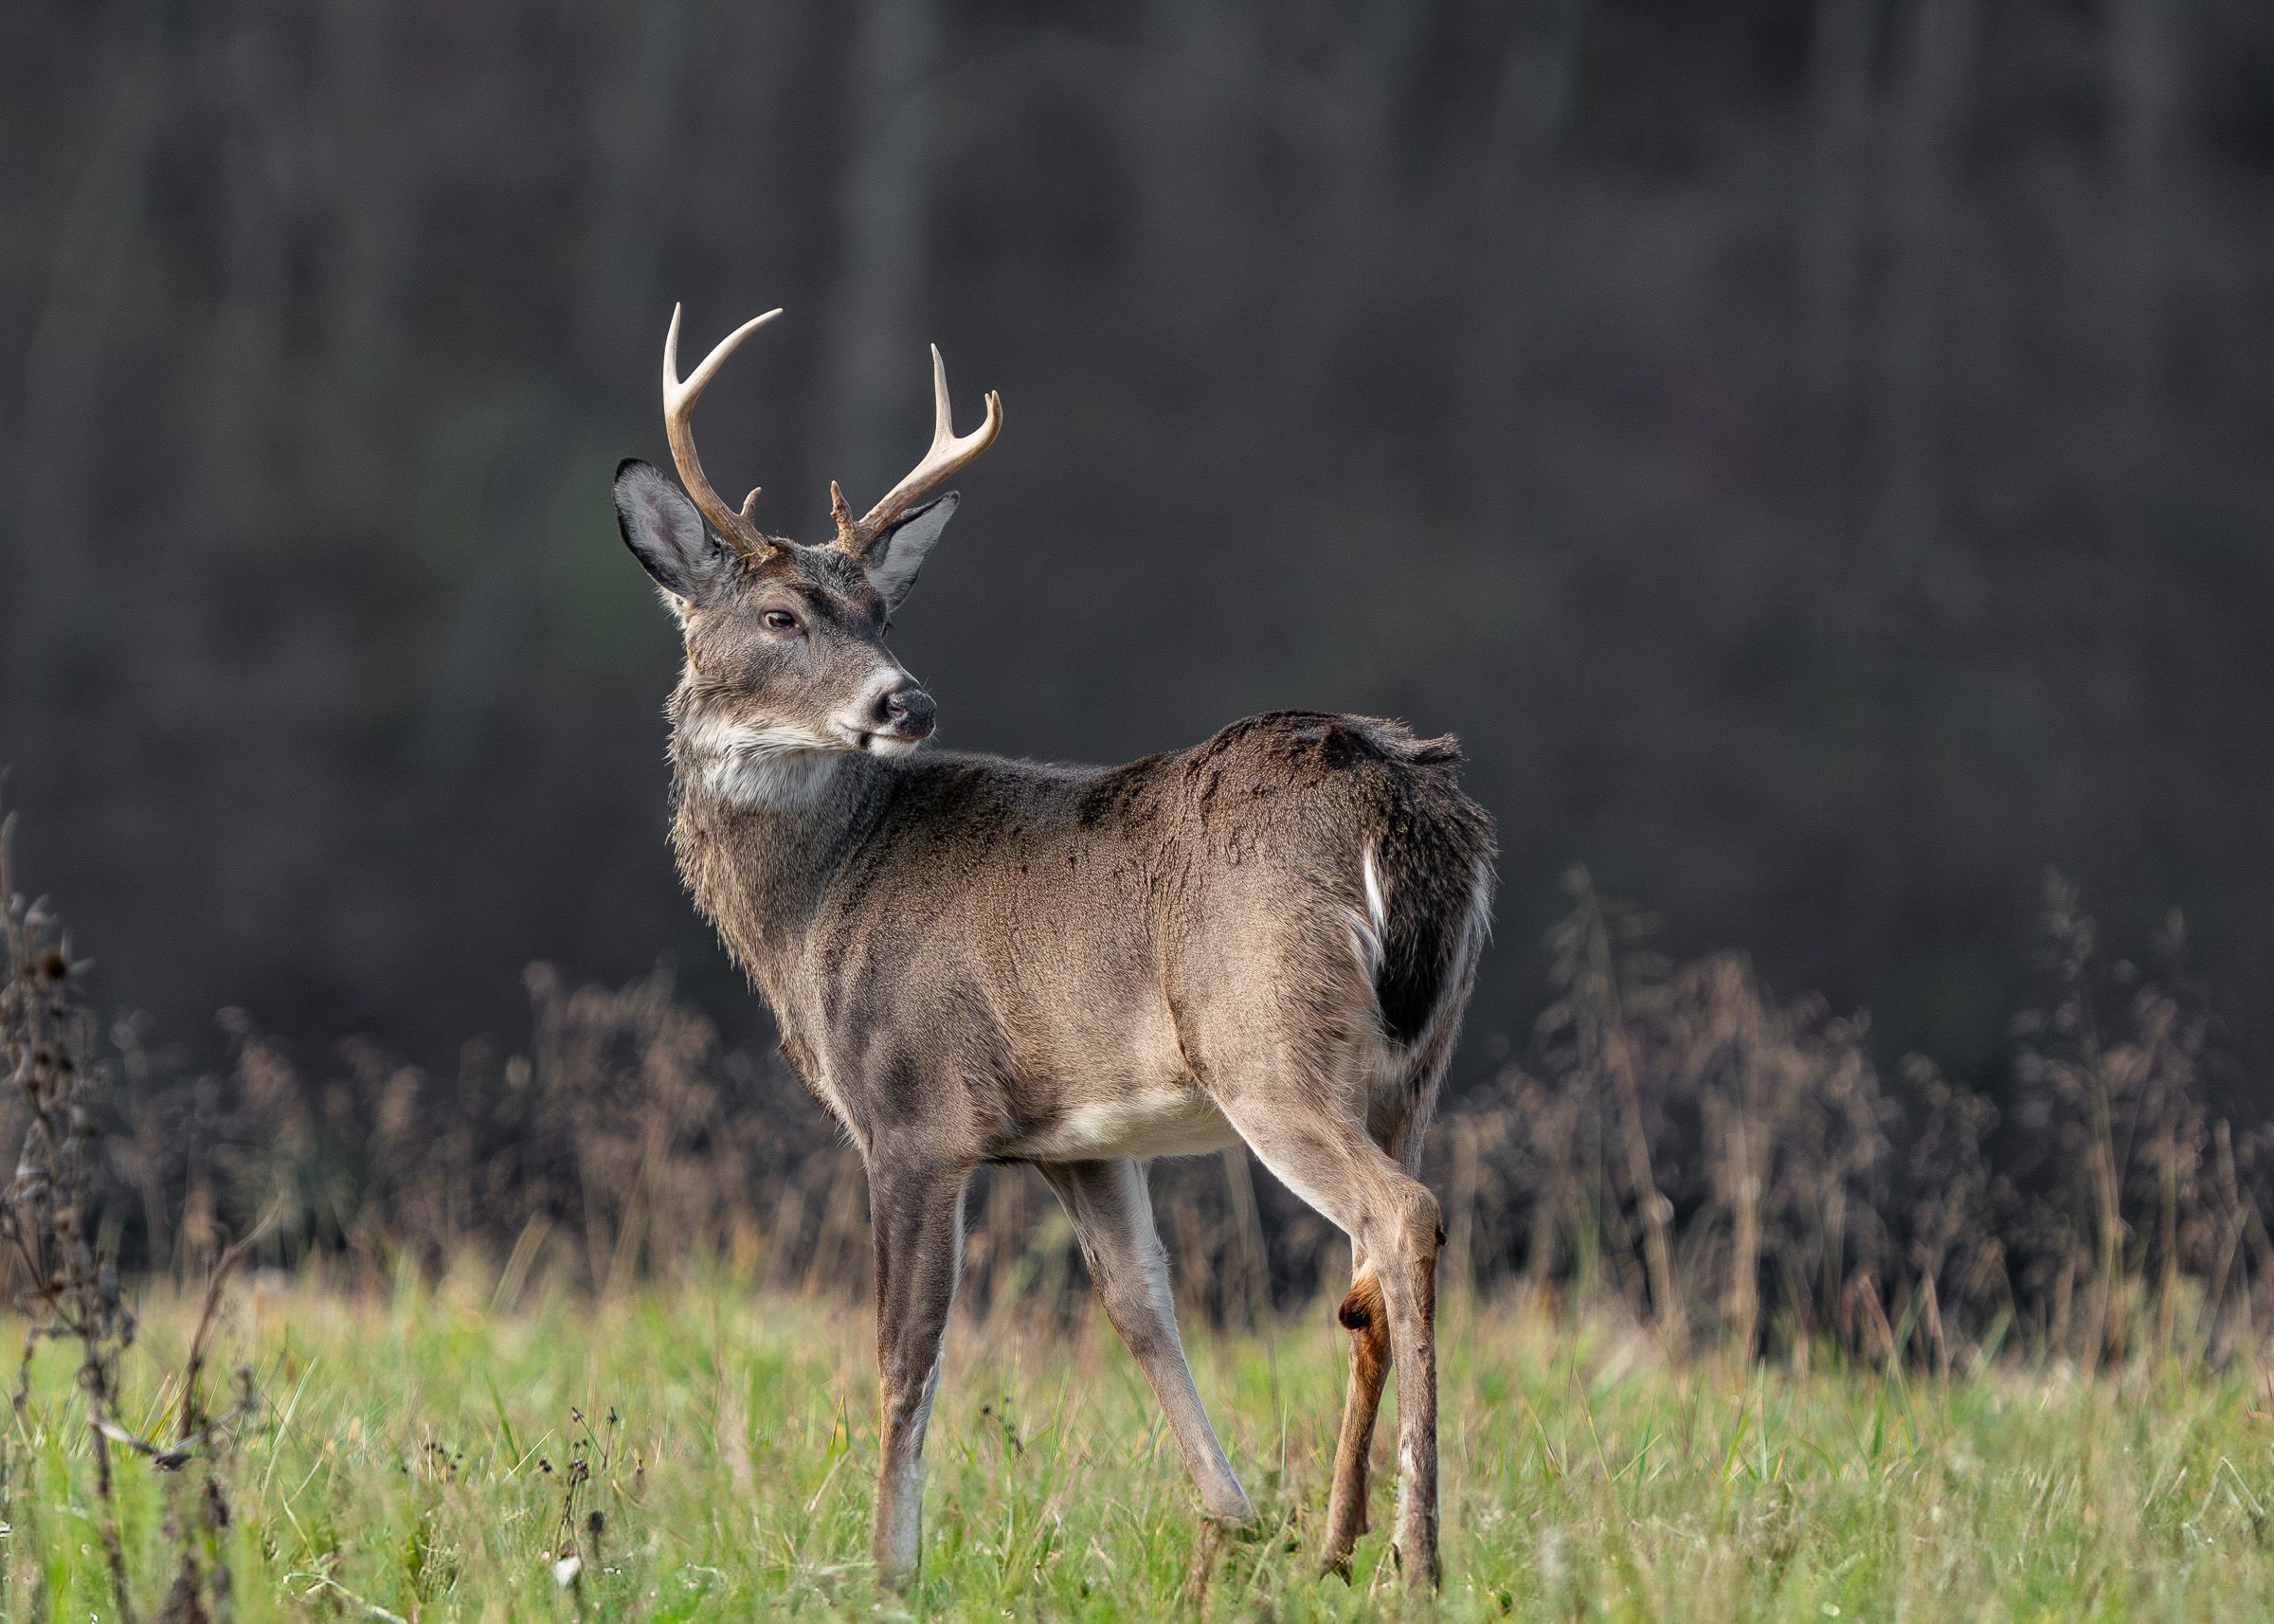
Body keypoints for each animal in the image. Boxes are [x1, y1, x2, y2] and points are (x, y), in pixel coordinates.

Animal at [610, 305, 1496, 1591]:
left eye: (882, 617)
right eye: (782, 617)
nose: (905, 700)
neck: (818, 902)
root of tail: (1406, 793)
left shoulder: (913, 1111)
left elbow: (904, 1351)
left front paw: (887, 1570)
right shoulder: (1079, 1134)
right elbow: (1140, 1308)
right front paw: (1233, 1523)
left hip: (1265, 1042)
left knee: (1404, 1216)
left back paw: (1413, 1557)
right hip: (1413, 1063)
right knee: (1369, 1274)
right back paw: (1334, 1545)